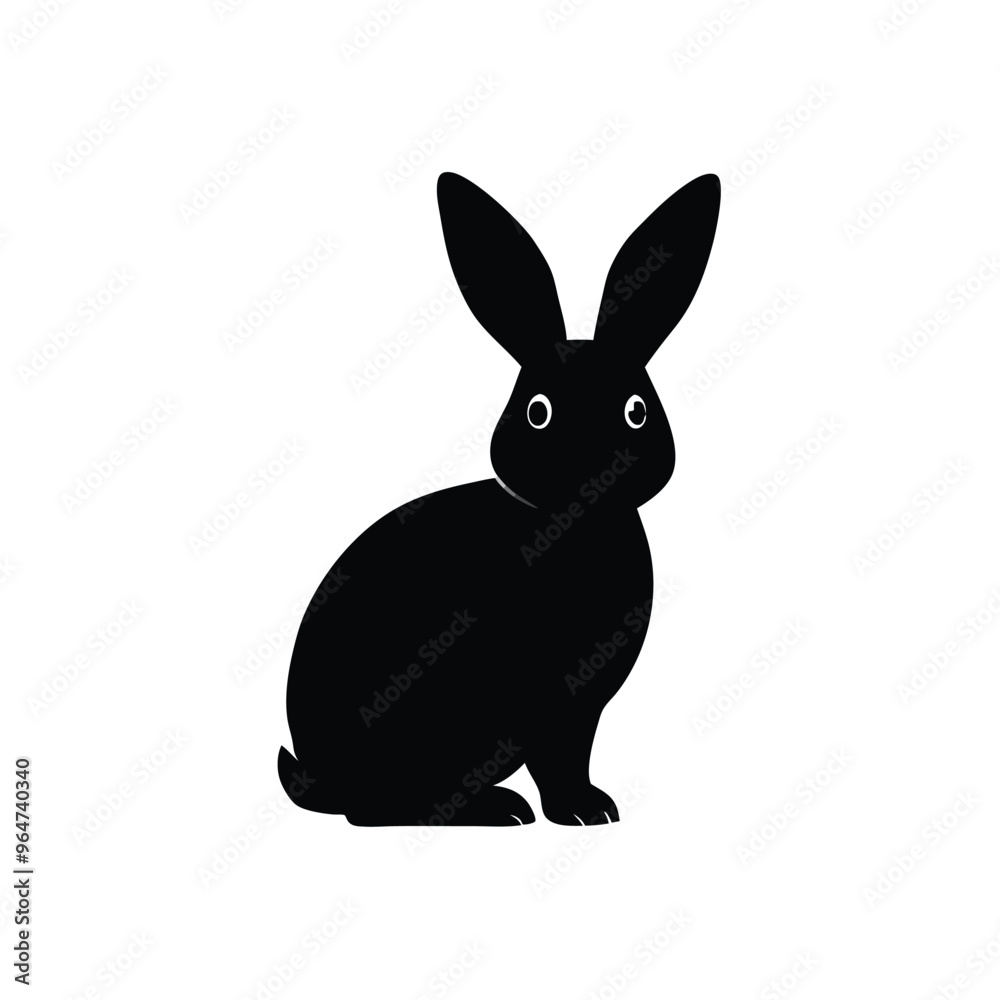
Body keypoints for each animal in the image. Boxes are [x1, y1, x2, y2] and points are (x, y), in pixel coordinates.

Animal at [278, 171, 720, 825]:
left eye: (637, 411)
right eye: (538, 412)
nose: (595, 468)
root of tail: (321, 780)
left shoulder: (581, 709)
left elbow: (575, 754)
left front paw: (594, 807)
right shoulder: (544, 698)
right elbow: (555, 758)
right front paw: (579, 812)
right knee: (382, 808)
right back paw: (494, 809)